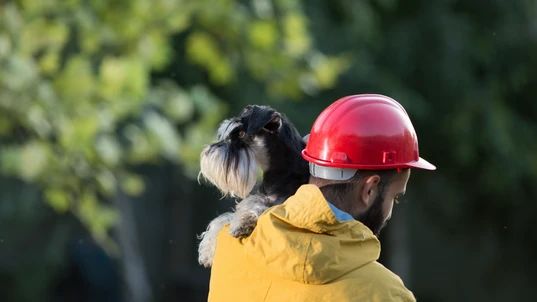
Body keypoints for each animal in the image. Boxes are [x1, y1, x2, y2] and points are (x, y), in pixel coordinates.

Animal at [197, 104, 308, 266]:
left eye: (242, 133)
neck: (278, 174)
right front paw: (208, 247)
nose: (207, 152)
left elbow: (258, 205)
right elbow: (225, 218)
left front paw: (244, 221)